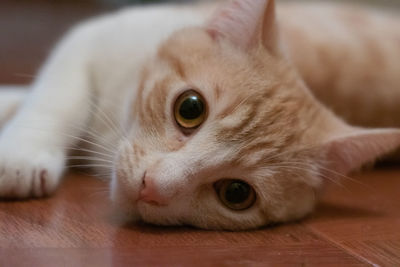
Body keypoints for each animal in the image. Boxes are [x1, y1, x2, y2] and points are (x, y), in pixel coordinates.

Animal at [0, 0, 400, 230]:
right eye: (190, 108)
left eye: (236, 193)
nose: (151, 185)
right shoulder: (97, 37)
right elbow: (57, 97)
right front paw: (21, 157)